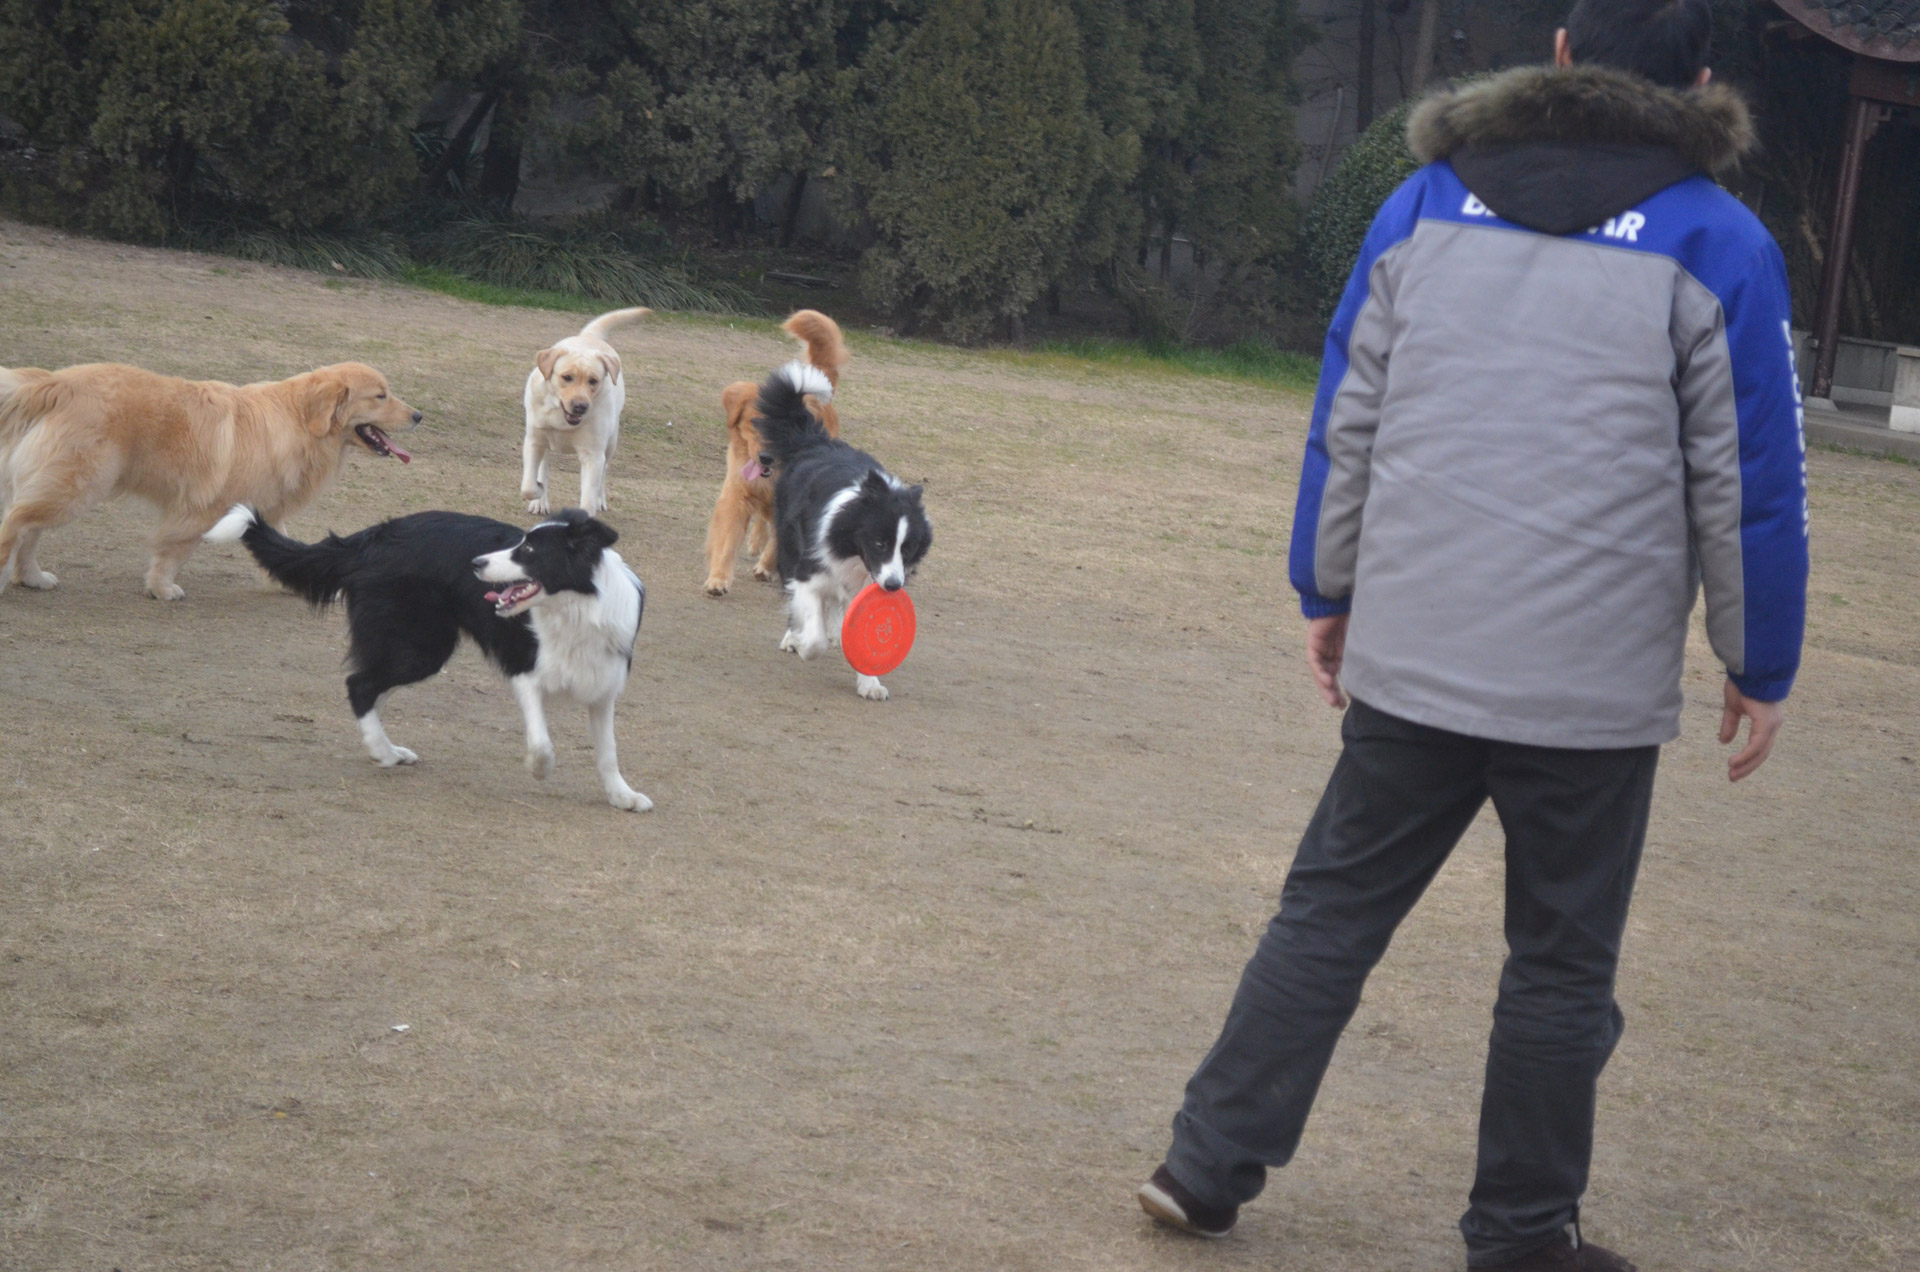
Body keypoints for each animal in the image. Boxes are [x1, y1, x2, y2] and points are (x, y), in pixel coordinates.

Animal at [0, 359, 418, 599]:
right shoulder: (202, 508)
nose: (419, 415)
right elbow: (174, 551)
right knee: (16, 522)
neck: (297, 420)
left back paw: (32, 578)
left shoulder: (263, 508)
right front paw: (162, 588)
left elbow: (283, 545)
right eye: (380, 395)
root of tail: (56, 383)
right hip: (80, 484)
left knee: (29, 529)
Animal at [702, 311, 844, 595]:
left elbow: (779, 544)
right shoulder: (737, 495)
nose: (765, 457)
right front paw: (718, 578)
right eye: (754, 422)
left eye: (785, 427)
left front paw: (766, 567)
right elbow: (726, 542)